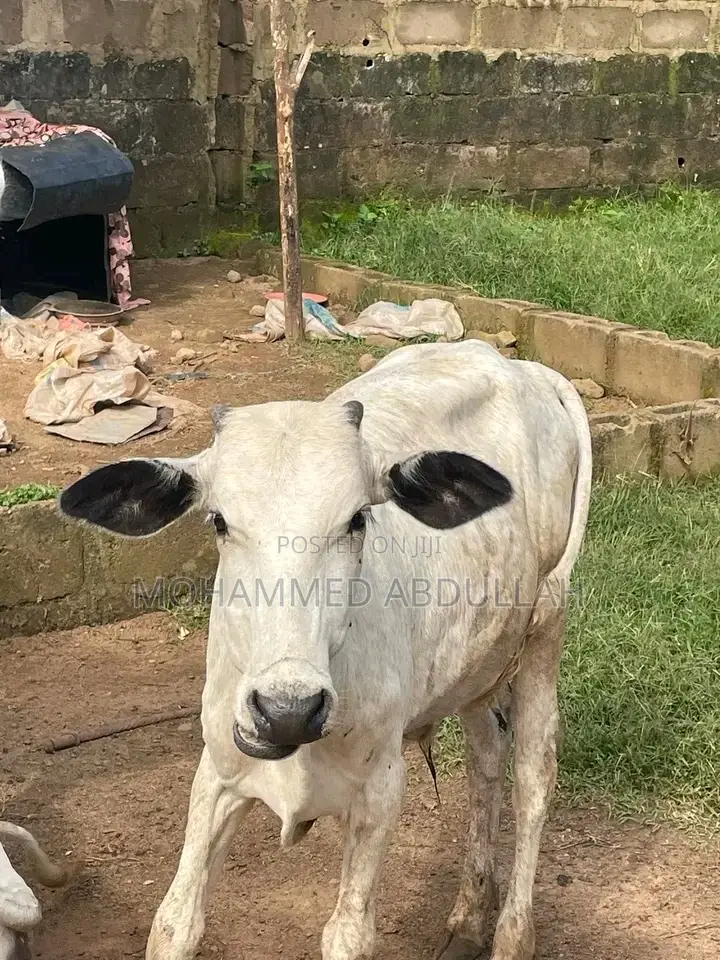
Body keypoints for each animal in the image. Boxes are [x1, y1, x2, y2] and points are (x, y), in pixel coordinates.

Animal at [59, 340, 592, 960]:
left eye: (358, 518)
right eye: (218, 521)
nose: (287, 709)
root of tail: (524, 368)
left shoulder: (380, 792)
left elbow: (349, 935)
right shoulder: (217, 772)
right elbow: (175, 922)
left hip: (545, 632)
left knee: (532, 777)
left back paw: (510, 933)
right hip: (477, 667)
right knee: (486, 761)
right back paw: (466, 920)